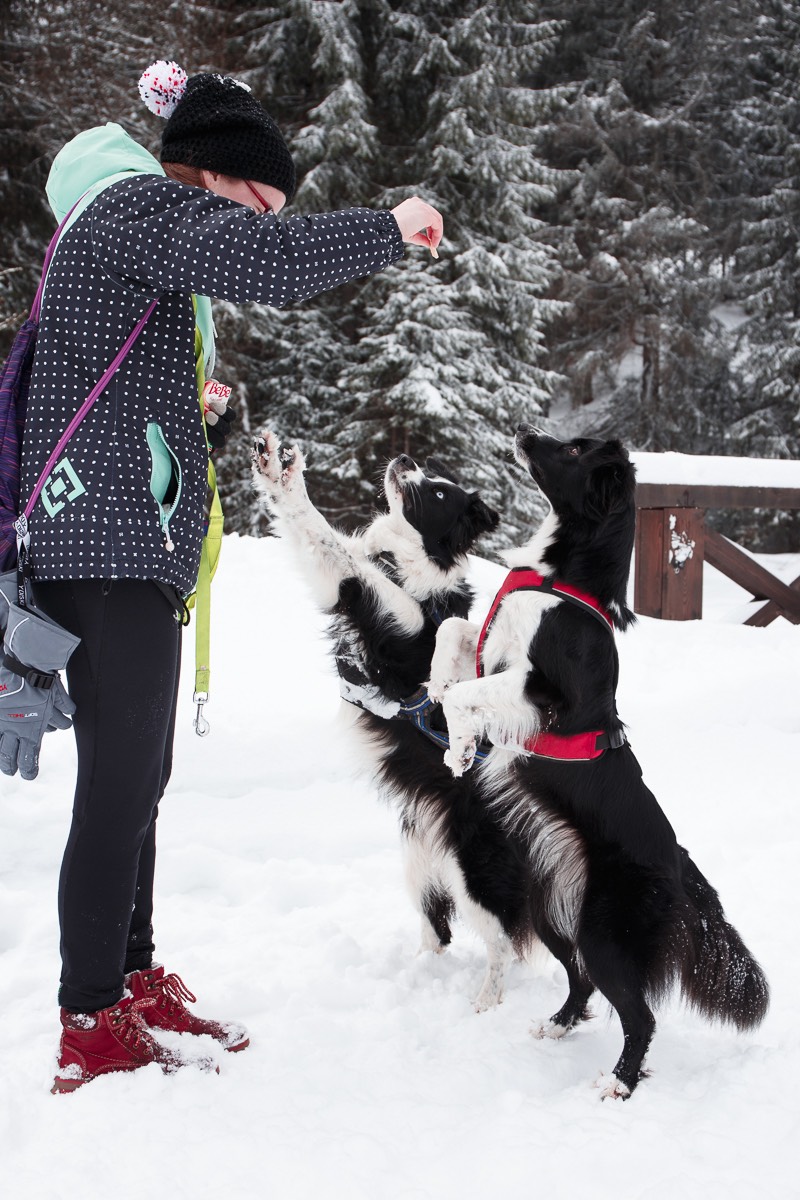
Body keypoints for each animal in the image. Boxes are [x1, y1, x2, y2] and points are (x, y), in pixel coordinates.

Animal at [429, 424, 772, 1099]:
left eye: (570, 451)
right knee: (582, 980)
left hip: (606, 933)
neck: (563, 578)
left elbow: (465, 688)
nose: (526, 431)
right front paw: (450, 723)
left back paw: (619, 1083)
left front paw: (458, 738)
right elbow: (452, 635)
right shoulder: (493, 649)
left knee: (639, 1013)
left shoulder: (543, 693)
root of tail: (679, 866)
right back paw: (557, 1025)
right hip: (557, 913)